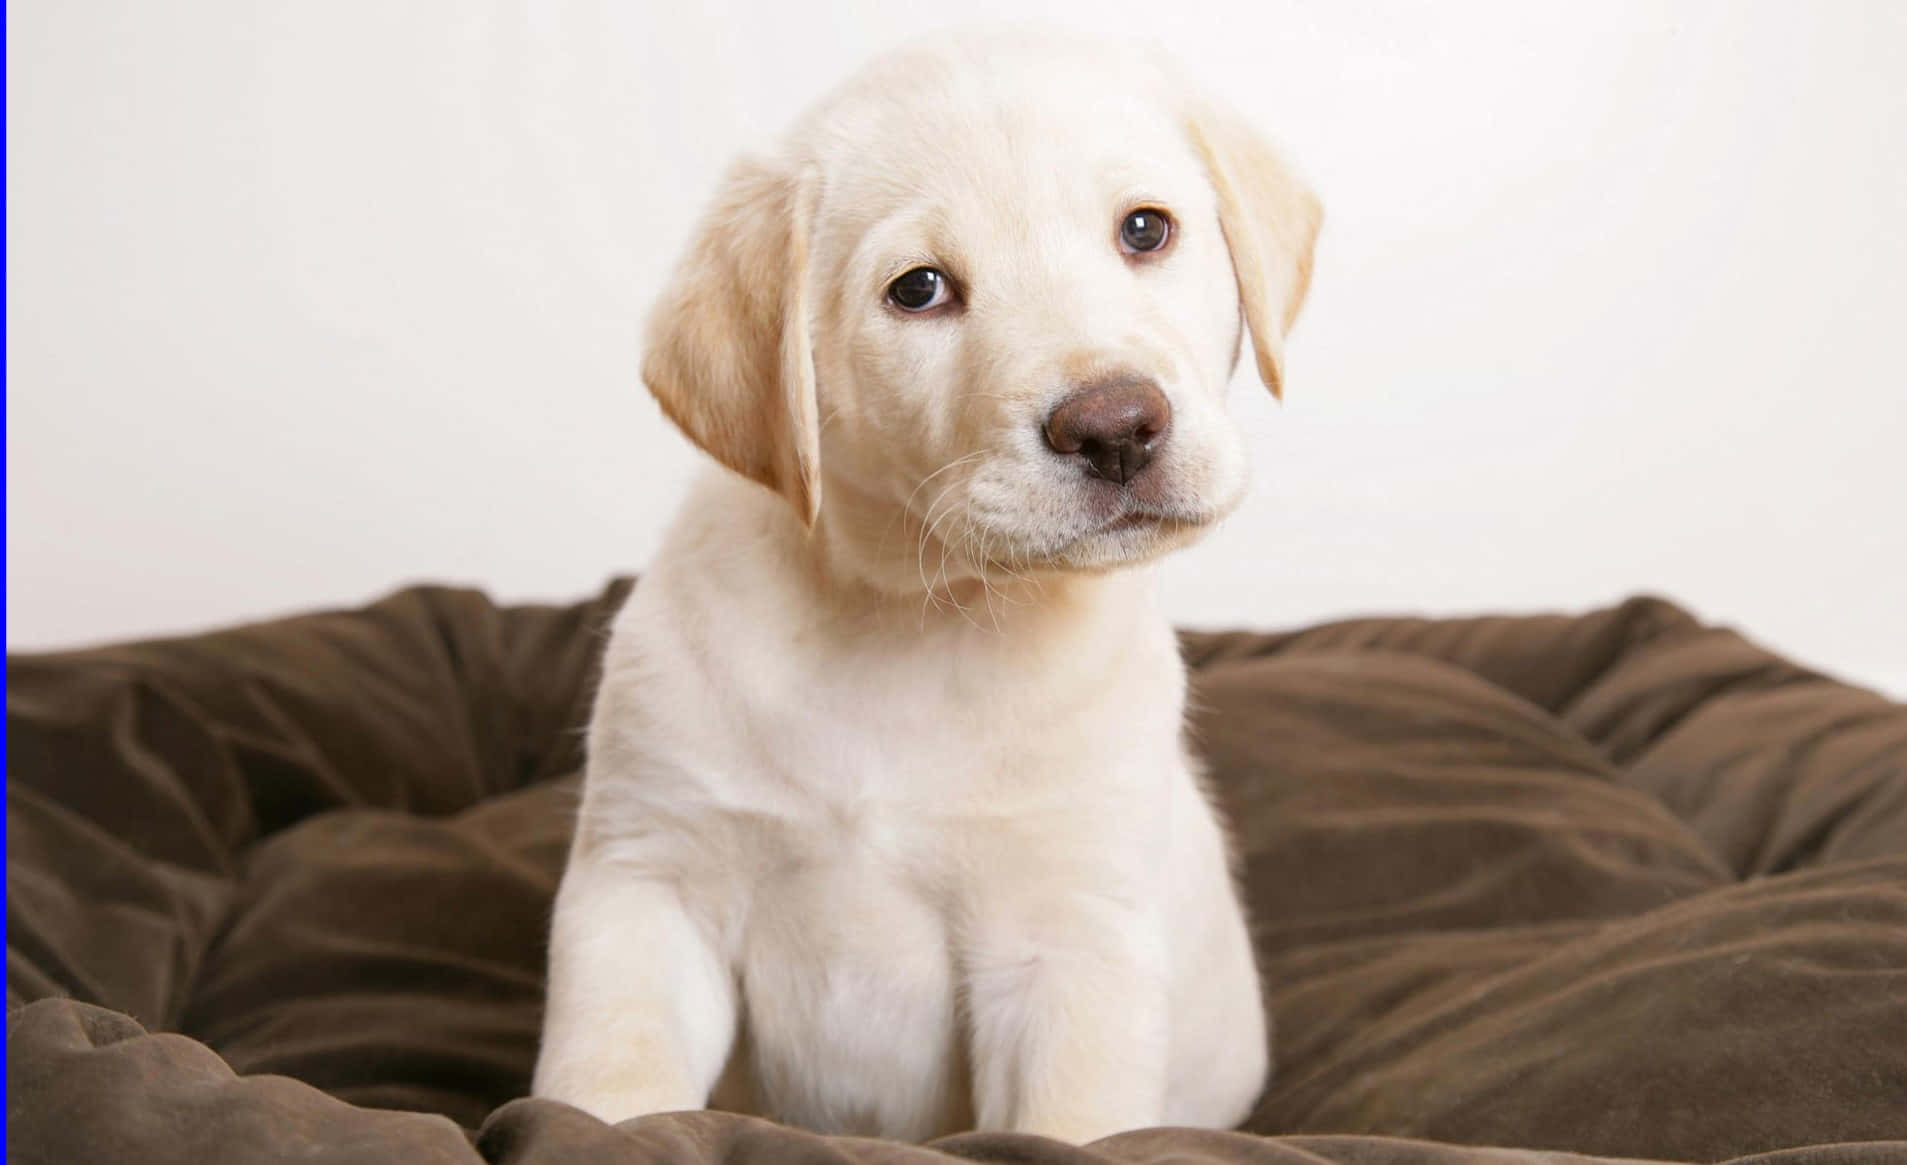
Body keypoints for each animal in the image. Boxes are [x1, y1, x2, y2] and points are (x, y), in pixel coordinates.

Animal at [530, 29, 1319, 1151]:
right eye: (919, 290)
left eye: (1143, 230)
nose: (1115, 427)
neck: (912, 616)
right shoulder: (648, 888)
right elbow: (609, 1086)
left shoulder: (1069, 945)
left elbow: (1067, 1122)